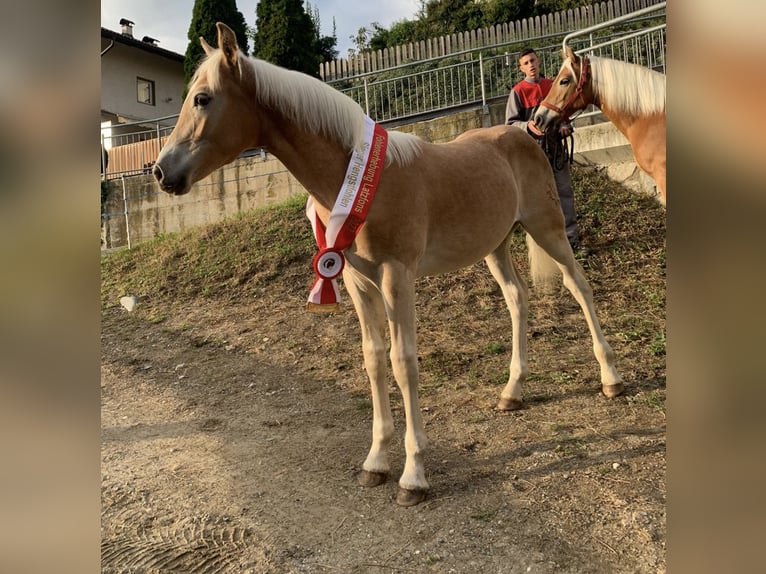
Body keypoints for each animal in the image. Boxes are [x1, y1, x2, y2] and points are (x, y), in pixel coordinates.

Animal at [153, 23, 628, 508]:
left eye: (203, 98)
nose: (160, 172)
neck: (359, 178)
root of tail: (526, 135)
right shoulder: (357, 281)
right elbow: (374, 360)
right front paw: (376, 462)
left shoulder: (396, 276)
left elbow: (403, 362)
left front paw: (413, 475)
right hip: (495, 245)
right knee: (518, 299)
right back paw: (512, 392)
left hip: (547, 228)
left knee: (579, 286)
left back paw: (610, 377)